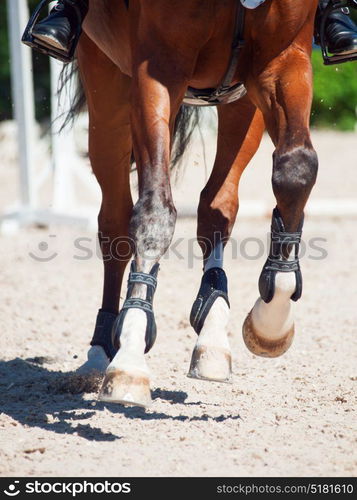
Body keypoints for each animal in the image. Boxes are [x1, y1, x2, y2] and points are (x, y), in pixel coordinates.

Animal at [67, 0, 318, 406]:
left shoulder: (282, 60)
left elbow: (296, 168)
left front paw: (271, 321)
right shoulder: (158, 70)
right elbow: (154, 213)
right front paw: (130, 356)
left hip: (241, 101)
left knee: (217, 205)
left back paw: (212, 334)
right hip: (107, 88)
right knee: (115, 221)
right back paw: (102, 349)